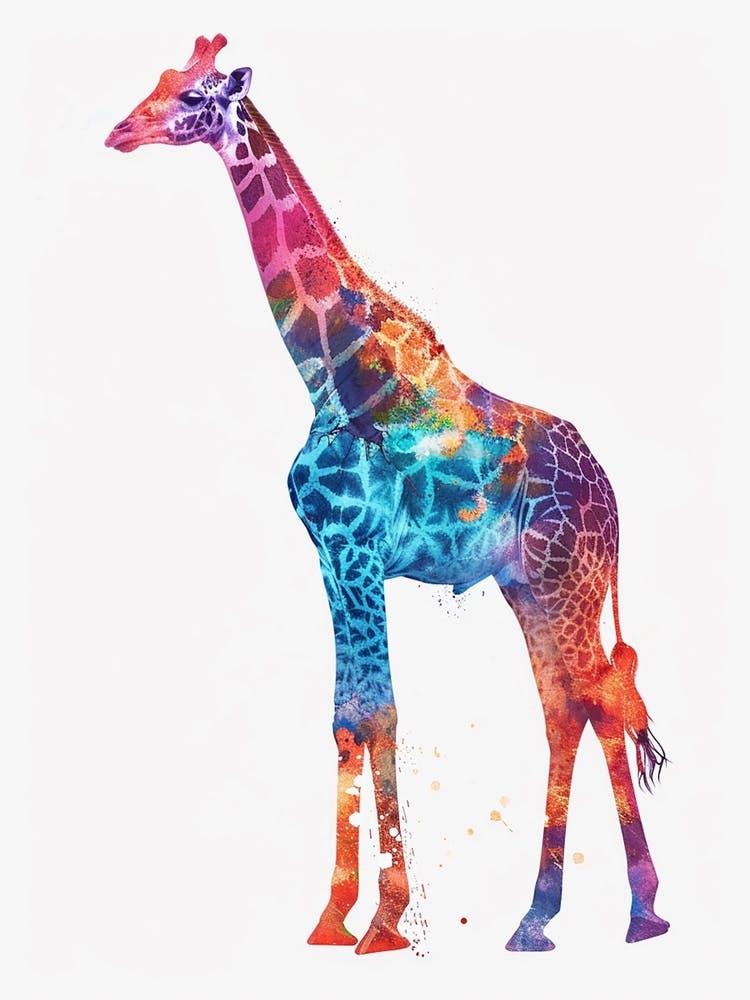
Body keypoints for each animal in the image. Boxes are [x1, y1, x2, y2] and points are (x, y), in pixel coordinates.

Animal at [105, 34, 669, 953]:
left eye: (193, 96)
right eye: (158, 80)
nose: (120, 130)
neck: (329, 374)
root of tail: (615, 498)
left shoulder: (359, 553)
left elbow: (380, 713)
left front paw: (384, 918)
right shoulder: (333, 562)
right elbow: (348, 714)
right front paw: (335, 916)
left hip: (567, 580)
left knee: (601, 700)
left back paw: (643, 916)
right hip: (528, 587)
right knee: (567, 707)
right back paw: (536, 919)